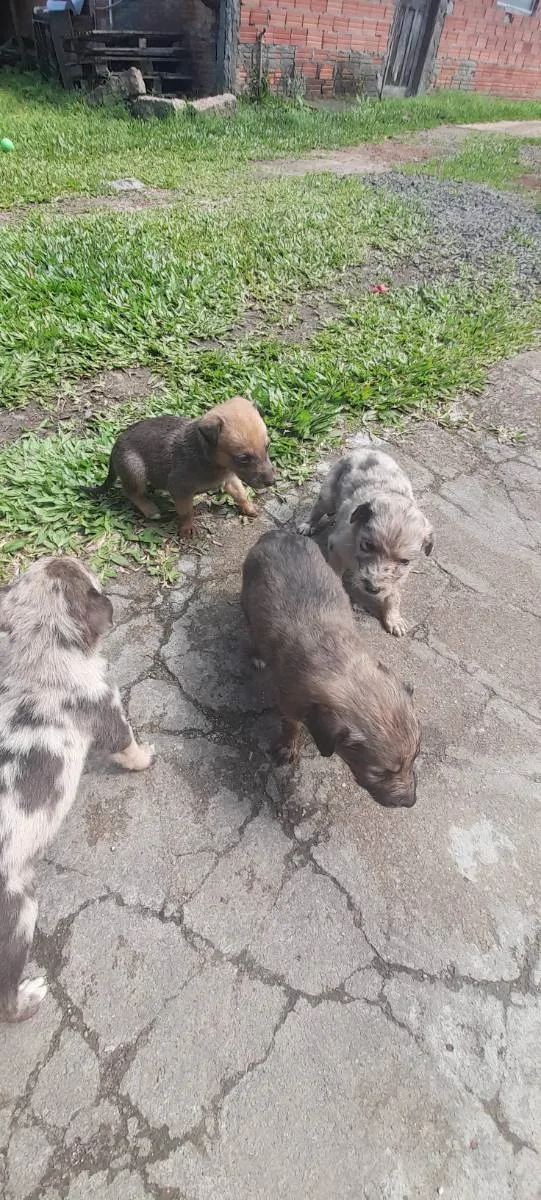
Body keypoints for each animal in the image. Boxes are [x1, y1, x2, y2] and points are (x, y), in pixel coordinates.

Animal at [0, 554, 154, 1022]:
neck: (35, 652)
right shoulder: (109, 713)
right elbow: (130, 748)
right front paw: (147, 757)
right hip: (19, 915)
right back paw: (31, 996)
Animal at [89, 396, 277, 537]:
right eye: (243, 458)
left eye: (267, 446)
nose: (271, 482)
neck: (209, 459)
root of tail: (115, 446)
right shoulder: (179, 489)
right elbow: (186, 511)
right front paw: (187, 528)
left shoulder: (230, 478)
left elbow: (241, 494)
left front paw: (249, 508)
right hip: (135, 470)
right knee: (132, 493)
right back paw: (150, 509)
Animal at [242, 532, 424, 806]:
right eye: (380, 772)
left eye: (415, 757)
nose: (410, 801)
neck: (341, 663)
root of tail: (280, 534)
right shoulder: (288, 700)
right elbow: (290, 725)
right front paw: (287, 746)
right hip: (247, 591)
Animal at [298, 448, 434, 638]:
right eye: (368, 546)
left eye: (404, 561)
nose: (373, 588)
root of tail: (366, 449)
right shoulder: (338, 545)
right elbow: (334, 573)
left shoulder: (400, 575)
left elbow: (394, 595)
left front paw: (394, 619)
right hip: (328, 495)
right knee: (318, 509)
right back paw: (308, 525)